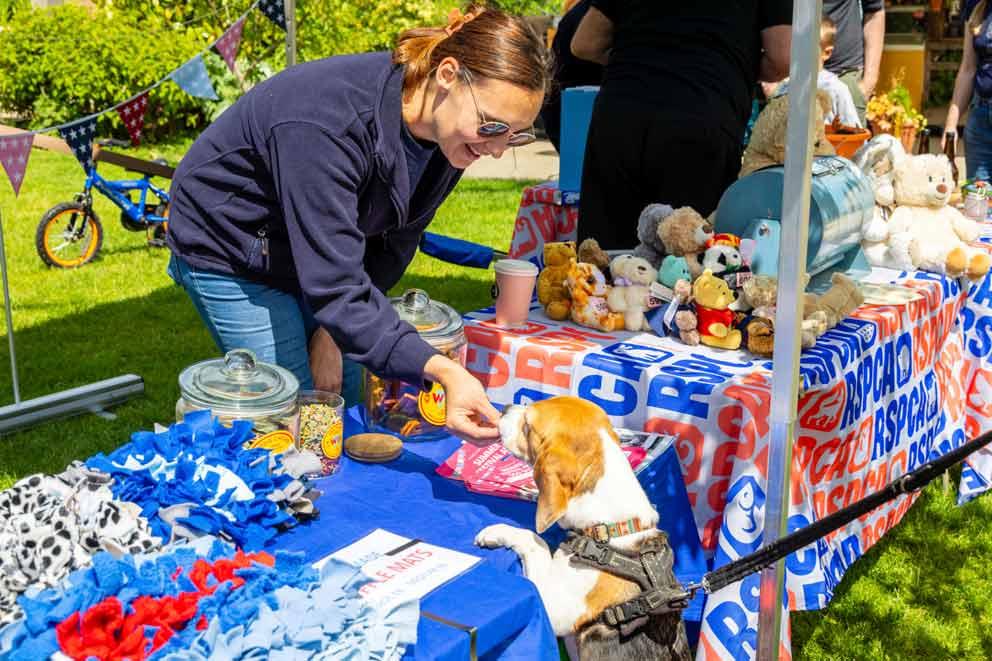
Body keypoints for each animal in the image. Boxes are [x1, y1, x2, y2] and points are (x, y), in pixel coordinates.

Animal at [474, 394, 688, 656]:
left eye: (528, 425)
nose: (504, 408)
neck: (609, 531)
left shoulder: (552, 608)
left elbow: (535, 539)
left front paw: (496, 532)